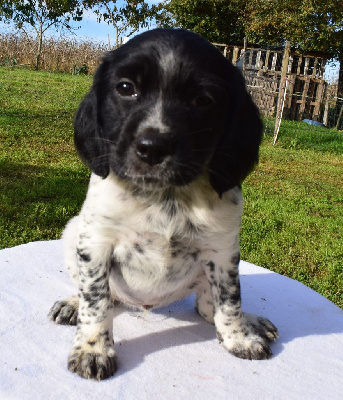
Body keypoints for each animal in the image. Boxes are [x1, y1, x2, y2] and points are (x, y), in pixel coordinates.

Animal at [49, 28, 280, 382]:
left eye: (203, 100)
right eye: (125, 88)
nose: (152, 147)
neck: (166, 196)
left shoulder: (223, 250)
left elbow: (230, 300)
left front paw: (239, 338)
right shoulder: (97, 242)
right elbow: (96, 302)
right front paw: (93, 349)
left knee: (207, 307)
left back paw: (249, 321)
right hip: (73, 233)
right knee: (104, 297)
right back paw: (72, 304)